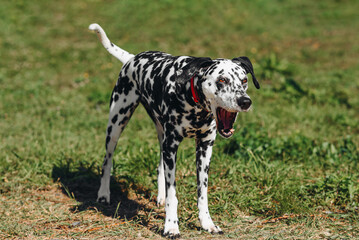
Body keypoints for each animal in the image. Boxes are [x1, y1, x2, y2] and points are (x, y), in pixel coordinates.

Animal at [88, 23, 260, 238]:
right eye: (222, 80)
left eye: (244, 80)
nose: (245, 101)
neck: (192, 100)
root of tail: (131, 59)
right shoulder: (172, 146)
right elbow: (173, 194)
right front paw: (171, 226)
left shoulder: (204, 148)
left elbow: (202, 193)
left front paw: (207, 223)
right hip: (116, 123)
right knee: (107, 160)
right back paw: (103, 194)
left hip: (161, 135)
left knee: (160, 165)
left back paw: (159, 197)